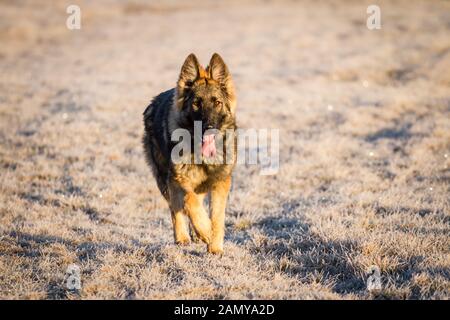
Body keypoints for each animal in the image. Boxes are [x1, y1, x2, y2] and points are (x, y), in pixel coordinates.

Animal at [142, 53, 237, 255]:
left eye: (217, 103)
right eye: (196, 103)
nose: (209, 128)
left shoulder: (220, 182)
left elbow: (217, 216)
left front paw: (215, 247)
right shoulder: (178, 178)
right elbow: (188, 200)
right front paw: (205, 230)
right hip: (164, 178)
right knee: (175, 206)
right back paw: (183, 236)